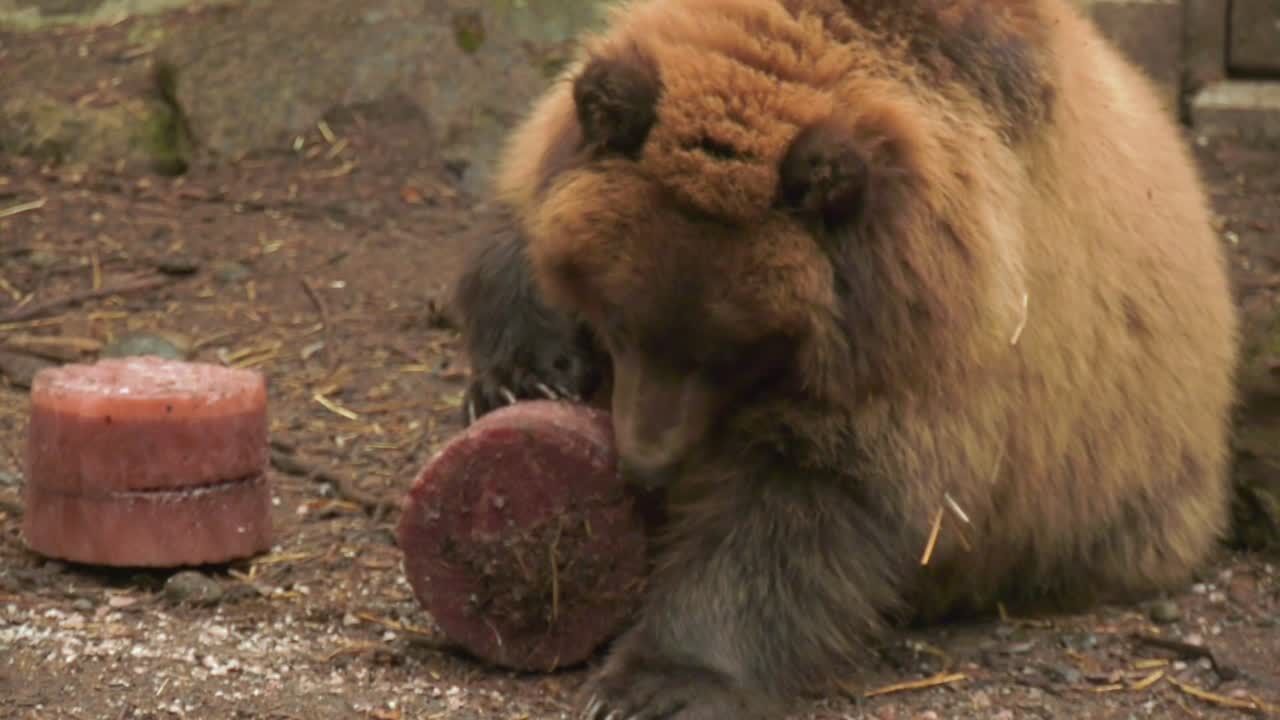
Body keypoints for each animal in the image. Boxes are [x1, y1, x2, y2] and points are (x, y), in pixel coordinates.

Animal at [450, 0, 1239, 712]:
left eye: (735, 351)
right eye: (620, 318)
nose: (646, 463)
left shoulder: (925, 347)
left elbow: (808, 499)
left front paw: (657, 682)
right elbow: (517, 235)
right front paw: (523, 375)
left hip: (1114, 482)